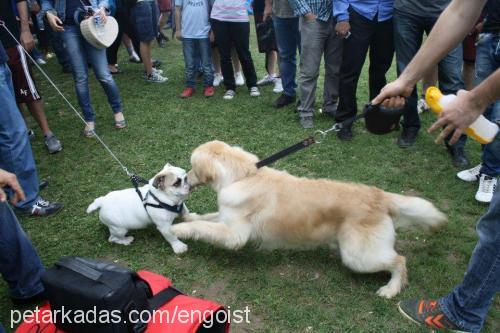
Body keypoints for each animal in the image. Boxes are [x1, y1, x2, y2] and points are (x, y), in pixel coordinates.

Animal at [170, 139, 448, 296]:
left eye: (192, 167)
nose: (186, 179)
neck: (242, 176)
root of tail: (379, 196)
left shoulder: (234, 236)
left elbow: (205, 227)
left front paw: (179, 231)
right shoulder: (227, 219)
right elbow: (207, 218)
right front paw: (187, 219)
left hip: (358, 256)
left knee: (400, 260)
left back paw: (390, 290)